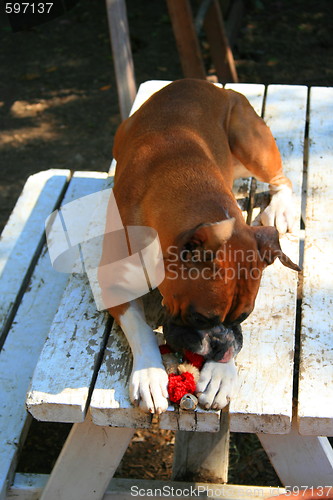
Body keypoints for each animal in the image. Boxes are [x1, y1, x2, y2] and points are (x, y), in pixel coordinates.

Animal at [103, 78, 298, 414]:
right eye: (199, 318)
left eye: (244, 317)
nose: (221, 347)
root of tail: (207, 84)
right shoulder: (111, 284)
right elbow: (139, 327)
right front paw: (149, 374)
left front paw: (221, 373)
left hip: (249, 145)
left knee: (281, 179)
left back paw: (281, 207)